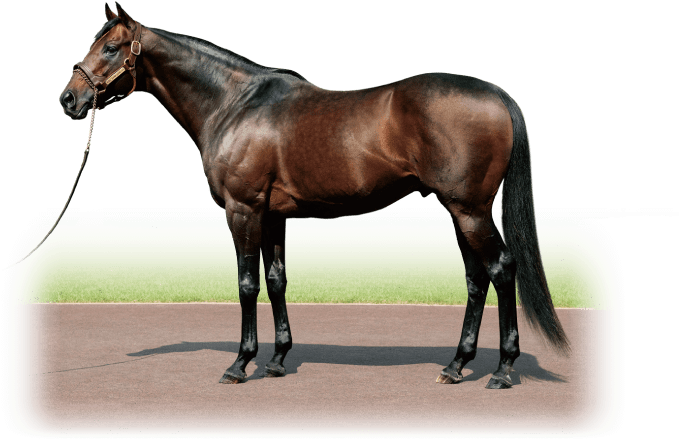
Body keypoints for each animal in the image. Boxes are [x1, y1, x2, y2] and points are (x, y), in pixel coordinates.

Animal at [60, 3, 569, 389]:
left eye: (110, 47)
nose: (69, 99)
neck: (234, 104)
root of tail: (497, 96)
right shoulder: (272, 215)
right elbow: (276, 280)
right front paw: (277, 360)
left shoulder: (243, 210)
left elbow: (247, 284)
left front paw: (239, 364)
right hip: (460, 210)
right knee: (476, 279)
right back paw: (456, 365)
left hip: (470, 210)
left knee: (501, 270)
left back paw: (502, 371)